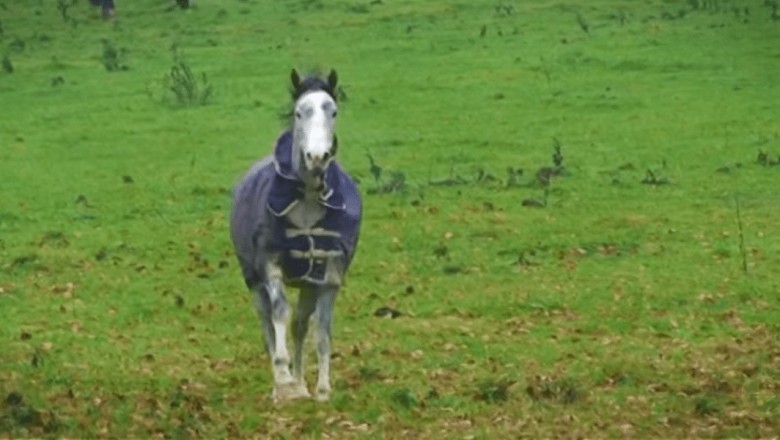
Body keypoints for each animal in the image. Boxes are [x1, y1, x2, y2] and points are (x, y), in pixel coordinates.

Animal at [230, 69, 362, 402]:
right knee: (267, 323)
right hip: (253, 281)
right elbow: (279, 314)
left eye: (333, 111)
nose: (317, 156)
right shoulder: (270, 266)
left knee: (300, 326)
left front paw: (322, 390)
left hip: (307, 285)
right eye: (299, 112)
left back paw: (303, 383)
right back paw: (284, 381)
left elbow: (322, 331)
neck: (307, 200)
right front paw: (284, 380)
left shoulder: (329, 277)